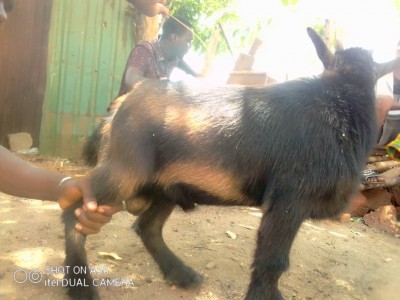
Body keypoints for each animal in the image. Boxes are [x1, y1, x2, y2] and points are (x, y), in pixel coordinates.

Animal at [61, 28, 400, 300]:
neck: (338, 102)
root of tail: (122, 104)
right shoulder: (288, 199)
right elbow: (272, 262)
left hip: (165, 188)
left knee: (147, 227)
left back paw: (180, 273)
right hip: (124, 172)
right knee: (74, 210)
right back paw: (82, 288)